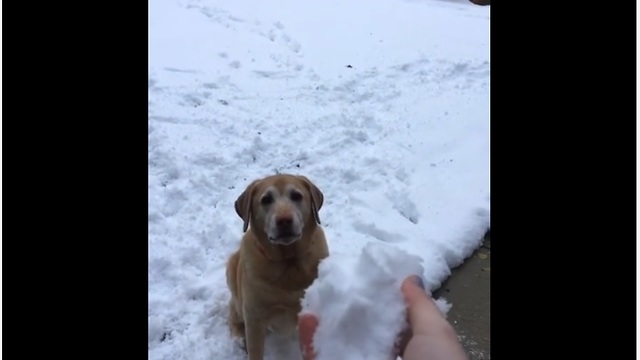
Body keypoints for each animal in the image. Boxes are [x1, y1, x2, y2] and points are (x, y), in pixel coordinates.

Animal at [226, 173, 330, 358]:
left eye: (296, 196)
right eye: (266, 199)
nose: (284, 220)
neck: (288, 262)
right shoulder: (254, 317)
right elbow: (255, 351)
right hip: (233, 275)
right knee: (233, 318)